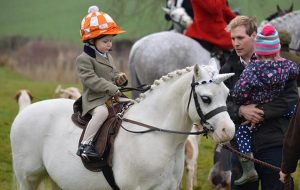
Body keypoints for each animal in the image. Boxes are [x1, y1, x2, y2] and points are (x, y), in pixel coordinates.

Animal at [9, 61, 234, 190]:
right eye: (205, 98)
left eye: (227, 95)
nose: (228, 131)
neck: (155, 137)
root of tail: (24, 113)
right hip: (28, 179)